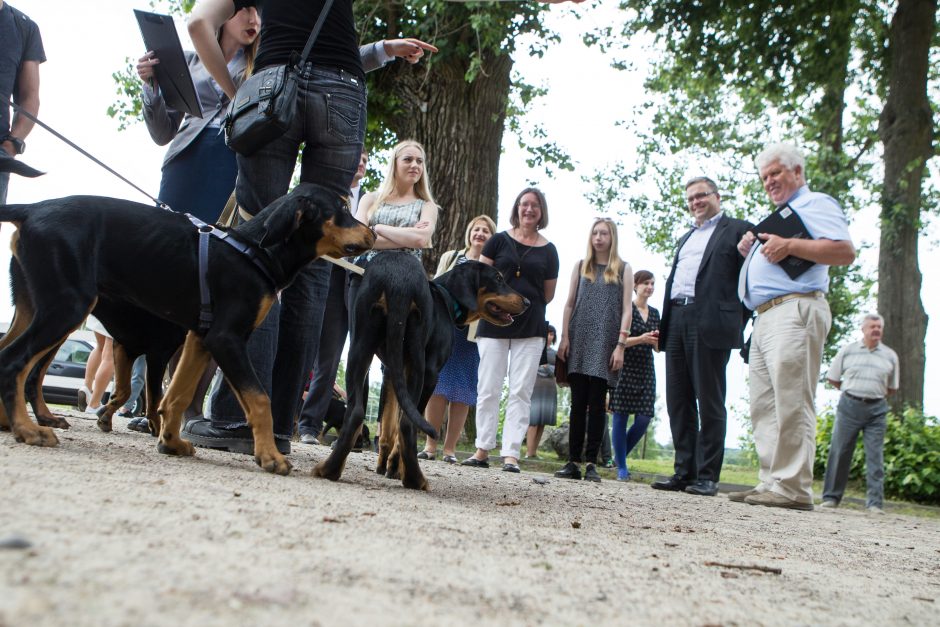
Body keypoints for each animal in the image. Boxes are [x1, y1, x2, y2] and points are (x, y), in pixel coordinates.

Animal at [0, 182, 374, 476]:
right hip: (67, 307)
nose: (373, 233)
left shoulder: (200, 339)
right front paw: (269, 456)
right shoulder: (227, 339)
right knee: (13, 362)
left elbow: (175, 396)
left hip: (33, 307)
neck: (254, 252)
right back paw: (28, 430)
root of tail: (32, 209)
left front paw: (171, 442)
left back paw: (9, 423)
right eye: (342, 208)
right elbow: (259, 398)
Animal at [312, 253, 524, 488]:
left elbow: (388, 428)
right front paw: (395, 467)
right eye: (498, 278)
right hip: (420, 366)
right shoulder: (428, 372)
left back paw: (329, 469)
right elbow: (399, 426)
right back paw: (415, 478)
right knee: (407, 423)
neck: (446, 299)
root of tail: (399, 279)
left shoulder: (391, 371)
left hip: (360, 348)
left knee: (356, 412)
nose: (528, 302)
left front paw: (386, 466)